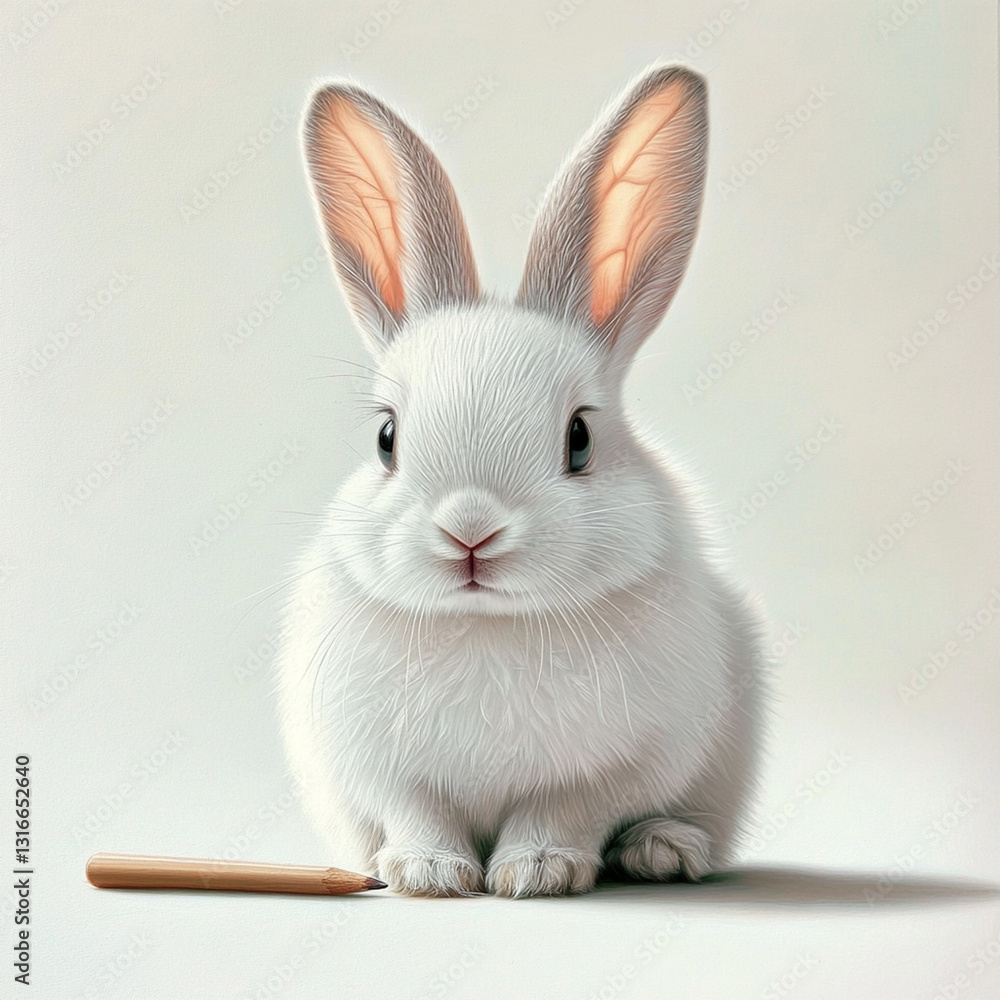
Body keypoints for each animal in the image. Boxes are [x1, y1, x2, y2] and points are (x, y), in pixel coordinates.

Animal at [276, 64, 768, 897]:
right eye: (386, 439)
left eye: (579, 439)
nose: (470, 531)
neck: (488, 624)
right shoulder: (381, 769)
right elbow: (417, 811)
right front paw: (431, 872)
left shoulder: (615, 766)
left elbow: (564, 810)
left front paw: (537, 870)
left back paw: (662, 849)